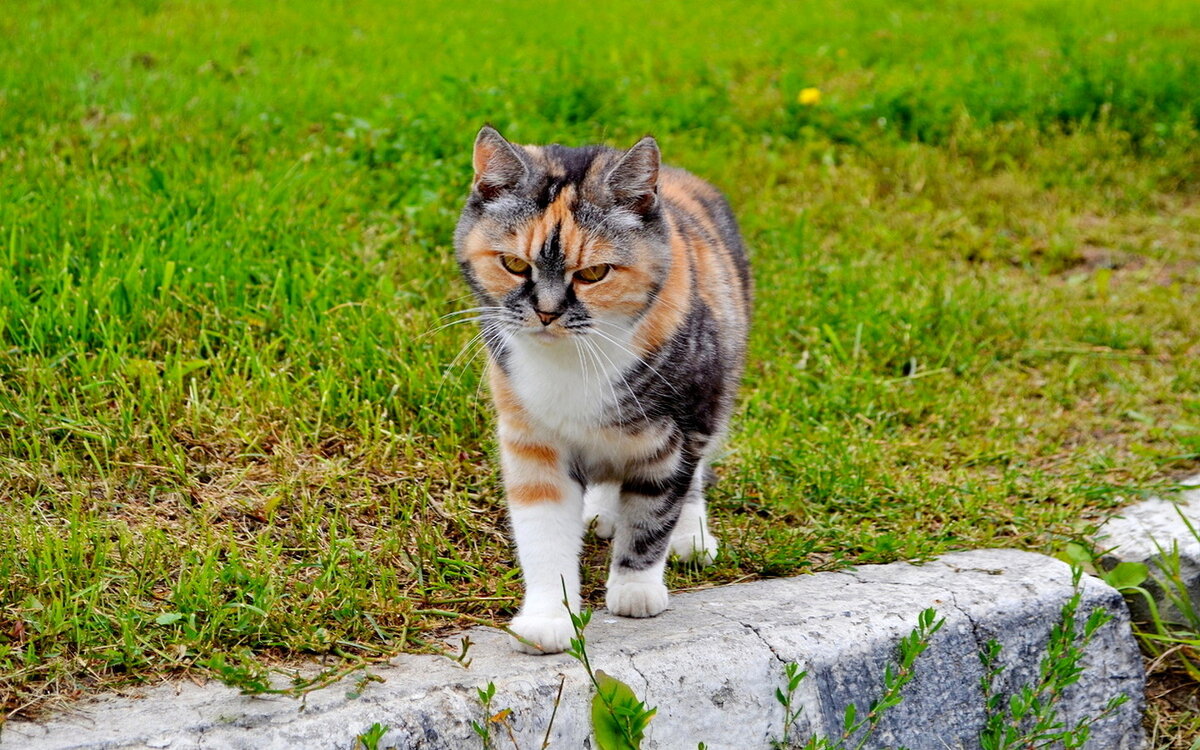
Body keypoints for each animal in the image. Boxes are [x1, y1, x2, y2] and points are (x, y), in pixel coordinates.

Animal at [451, 126, 748, 652]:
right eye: (513, 264)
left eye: (593, 273)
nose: (546, 312)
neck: (571, 361)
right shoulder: (531, 437)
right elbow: (543, 530)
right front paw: (548, 617)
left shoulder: (678, 431)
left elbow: (653, 511)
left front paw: (635, 589)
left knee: (689, 478)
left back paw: (689, 536)